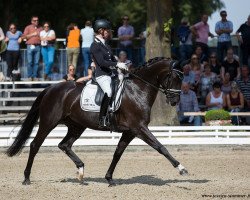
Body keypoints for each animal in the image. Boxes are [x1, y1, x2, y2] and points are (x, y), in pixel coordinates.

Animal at [6, 57, 188, 186]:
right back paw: (27, 178)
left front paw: (109, 178)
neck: (138, 89)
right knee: (35, 145)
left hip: (77, 126)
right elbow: (160, 147)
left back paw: (81, 171)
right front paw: (181, 169)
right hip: (49, 122)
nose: (174, 101)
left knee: (64, 145)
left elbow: (117, 153)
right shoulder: (139, 128)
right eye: (173, 77)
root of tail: (51, 88)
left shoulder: (130, 131)